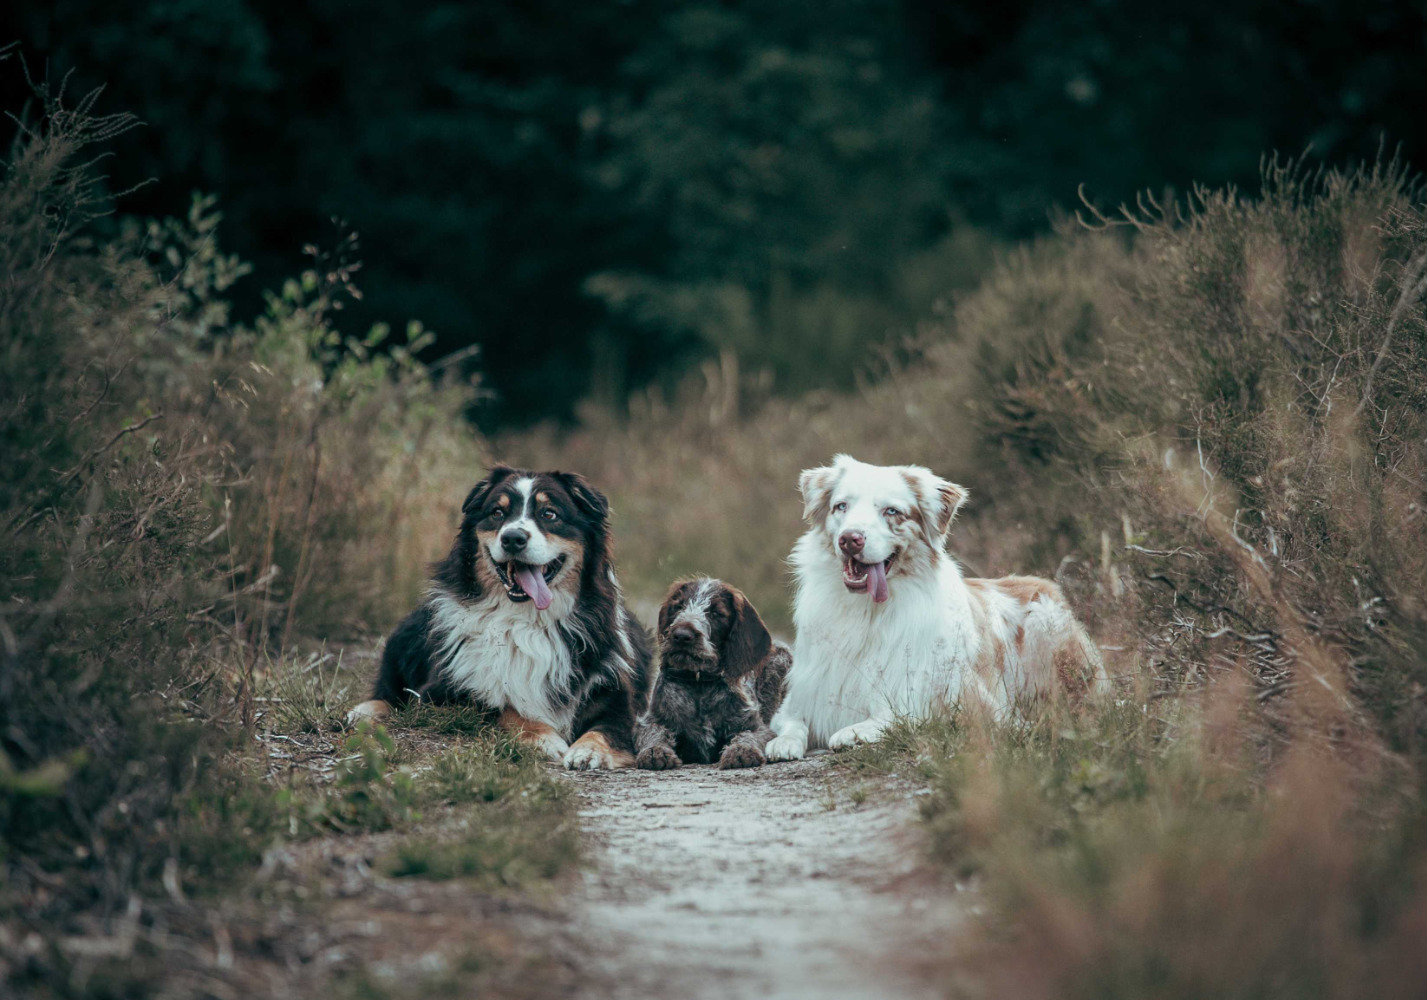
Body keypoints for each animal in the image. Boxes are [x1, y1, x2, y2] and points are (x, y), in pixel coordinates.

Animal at [345, 465, 653, 770]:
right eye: (497, 513)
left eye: (549, 514)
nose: (513, 538)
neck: (526, 621)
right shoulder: (444, 693)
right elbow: (504, 709)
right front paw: (544, 738)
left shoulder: (615, 696)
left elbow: (606, 730)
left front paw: (588, 751)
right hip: (406, 632)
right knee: (389, 695)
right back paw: (362, 712)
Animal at [636, 576, 793, 770]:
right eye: (678, 606)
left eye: (716, 613)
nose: (681, 635)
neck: (699, 682)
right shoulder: (650, 721)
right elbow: (653, 733)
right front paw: (654, 751)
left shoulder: (759, 727)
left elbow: (749, 734)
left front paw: (741, 750)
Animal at [764, 453, 1107, 758]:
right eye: (841, 506)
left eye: (891, 511)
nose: (850, 539)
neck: (867, 613)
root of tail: (1045, 584)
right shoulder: (803, 695)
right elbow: (792, 722)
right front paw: (784, 743)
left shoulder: (967, 703)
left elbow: (898, 715)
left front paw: (854, 731)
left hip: (1043, 621)